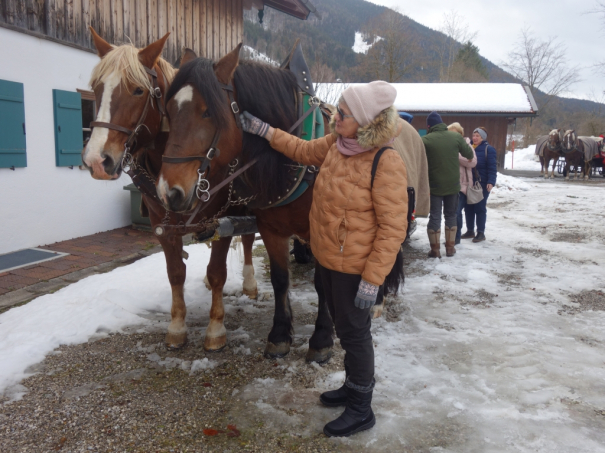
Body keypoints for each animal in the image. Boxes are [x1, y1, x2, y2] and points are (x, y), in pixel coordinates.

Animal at [156, 44, 336, 362]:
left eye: (208, 112)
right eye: (169, 112)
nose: (169, 192)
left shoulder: (321, 231)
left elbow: (322, 283)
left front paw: (322, 338)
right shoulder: (271, 227)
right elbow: (279, 279)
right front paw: (279, 335)